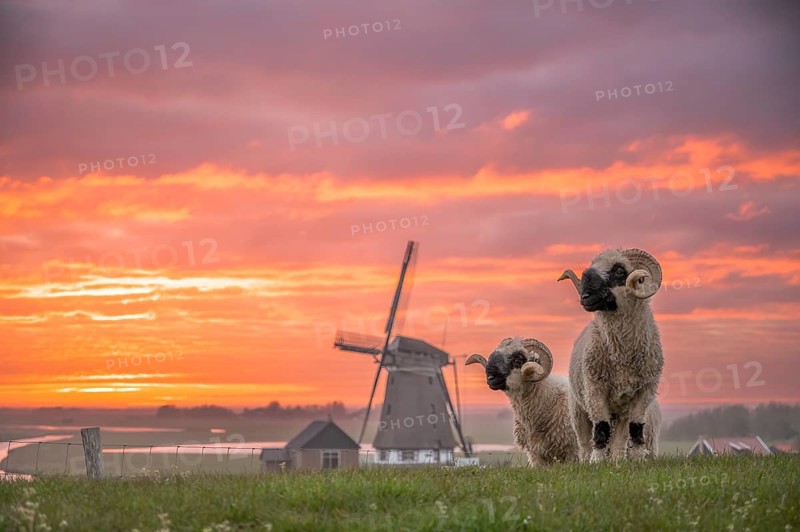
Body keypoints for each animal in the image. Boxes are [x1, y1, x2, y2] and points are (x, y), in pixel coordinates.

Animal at [558, 248, 664, 462]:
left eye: (619, 271)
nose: (585, 297)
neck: (622, 356)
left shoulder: (644, 391)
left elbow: (636, 427)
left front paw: (638, 460)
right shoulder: (594, 390)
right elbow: (601, 427)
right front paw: (597, 461)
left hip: (621, 409)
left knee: (620, 438)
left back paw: (616, 461)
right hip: (578, 410)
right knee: (585, 442)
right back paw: (587, 460)